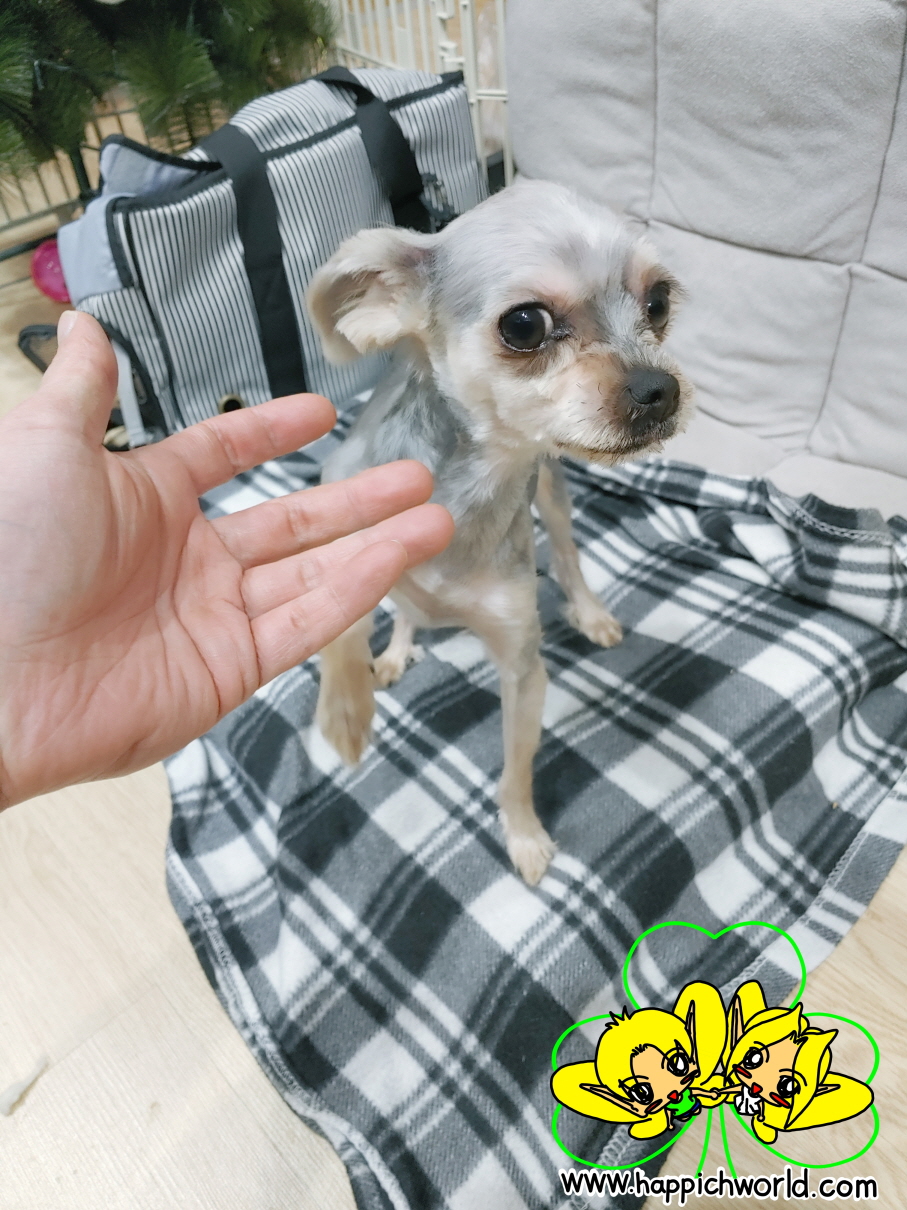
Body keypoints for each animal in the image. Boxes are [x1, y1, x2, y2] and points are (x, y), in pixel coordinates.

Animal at [307, 179, 692, 885]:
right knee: (405, 608)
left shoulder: (522, 667)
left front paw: (523, 836)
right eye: (525, 325)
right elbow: (340, 624)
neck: (469, 490)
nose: (660, 388)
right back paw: (396, 650)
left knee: (566, 553)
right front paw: (346, 712)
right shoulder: (345, 512)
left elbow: (515, 771)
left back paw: (589, 612)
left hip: (554, 494)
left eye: (658, 303)